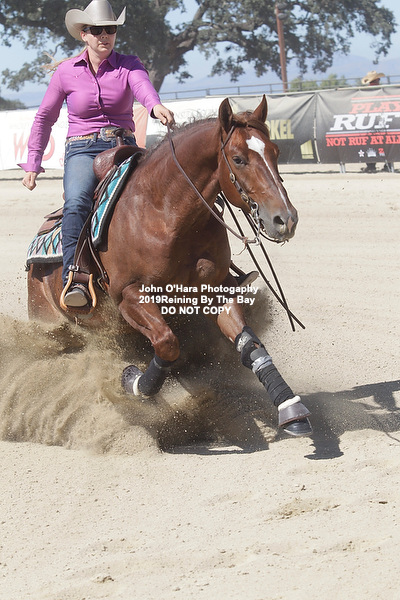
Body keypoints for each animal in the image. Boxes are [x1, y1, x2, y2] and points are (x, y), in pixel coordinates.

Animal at [27, 95, 312, 437]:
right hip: (46, 317)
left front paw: (291, 409)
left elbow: (249, 345)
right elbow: (167, 344)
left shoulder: (214, 293)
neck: (164, 213)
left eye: (275, 152)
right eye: (238, 159)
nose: (286, 219)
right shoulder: (129, 296)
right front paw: (134, 382)